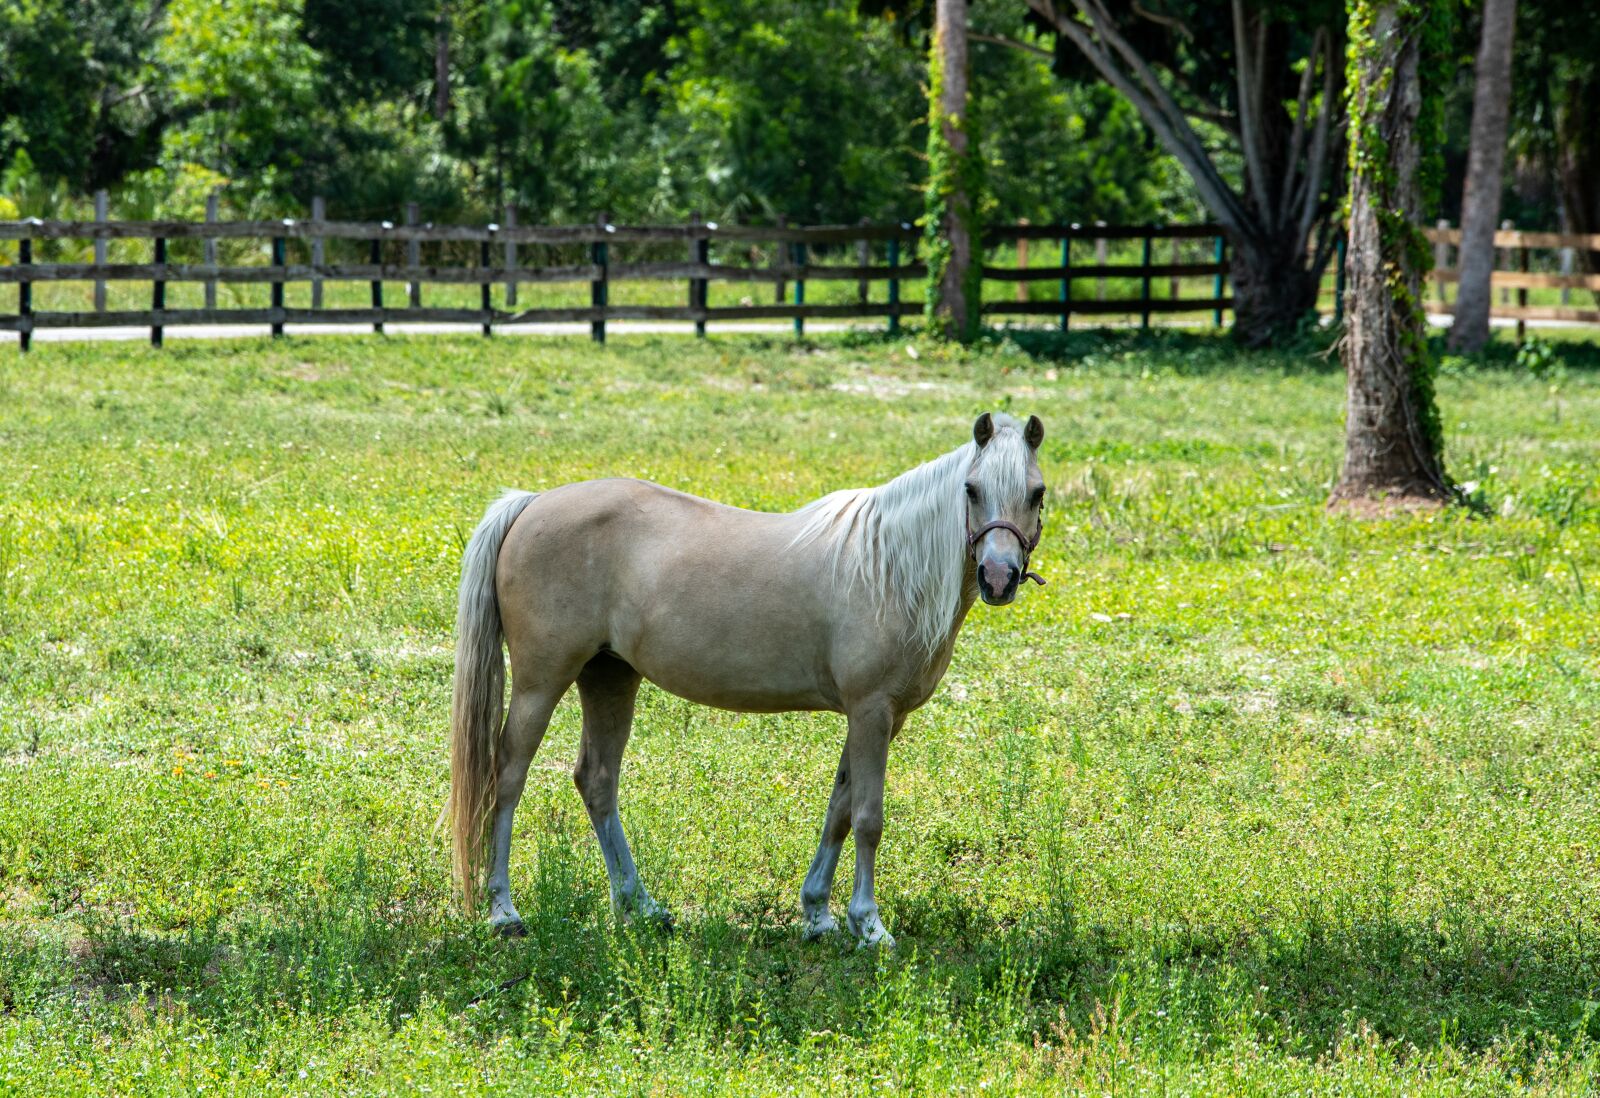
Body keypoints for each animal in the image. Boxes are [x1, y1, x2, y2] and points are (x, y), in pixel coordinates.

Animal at [447, 411, 1047, 947]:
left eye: (1037, 493)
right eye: (971, 489)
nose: (998, 577)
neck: (886, 566)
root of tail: (531, 503)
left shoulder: (874, 718)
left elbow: (839, 809)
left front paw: (818, 916)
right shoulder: (872, 711)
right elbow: (867, 817)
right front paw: (869, 925)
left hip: (610, 677)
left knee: (597, 781)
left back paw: (641, 907)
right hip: (540, 682)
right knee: (507, 777)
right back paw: (504, 912)